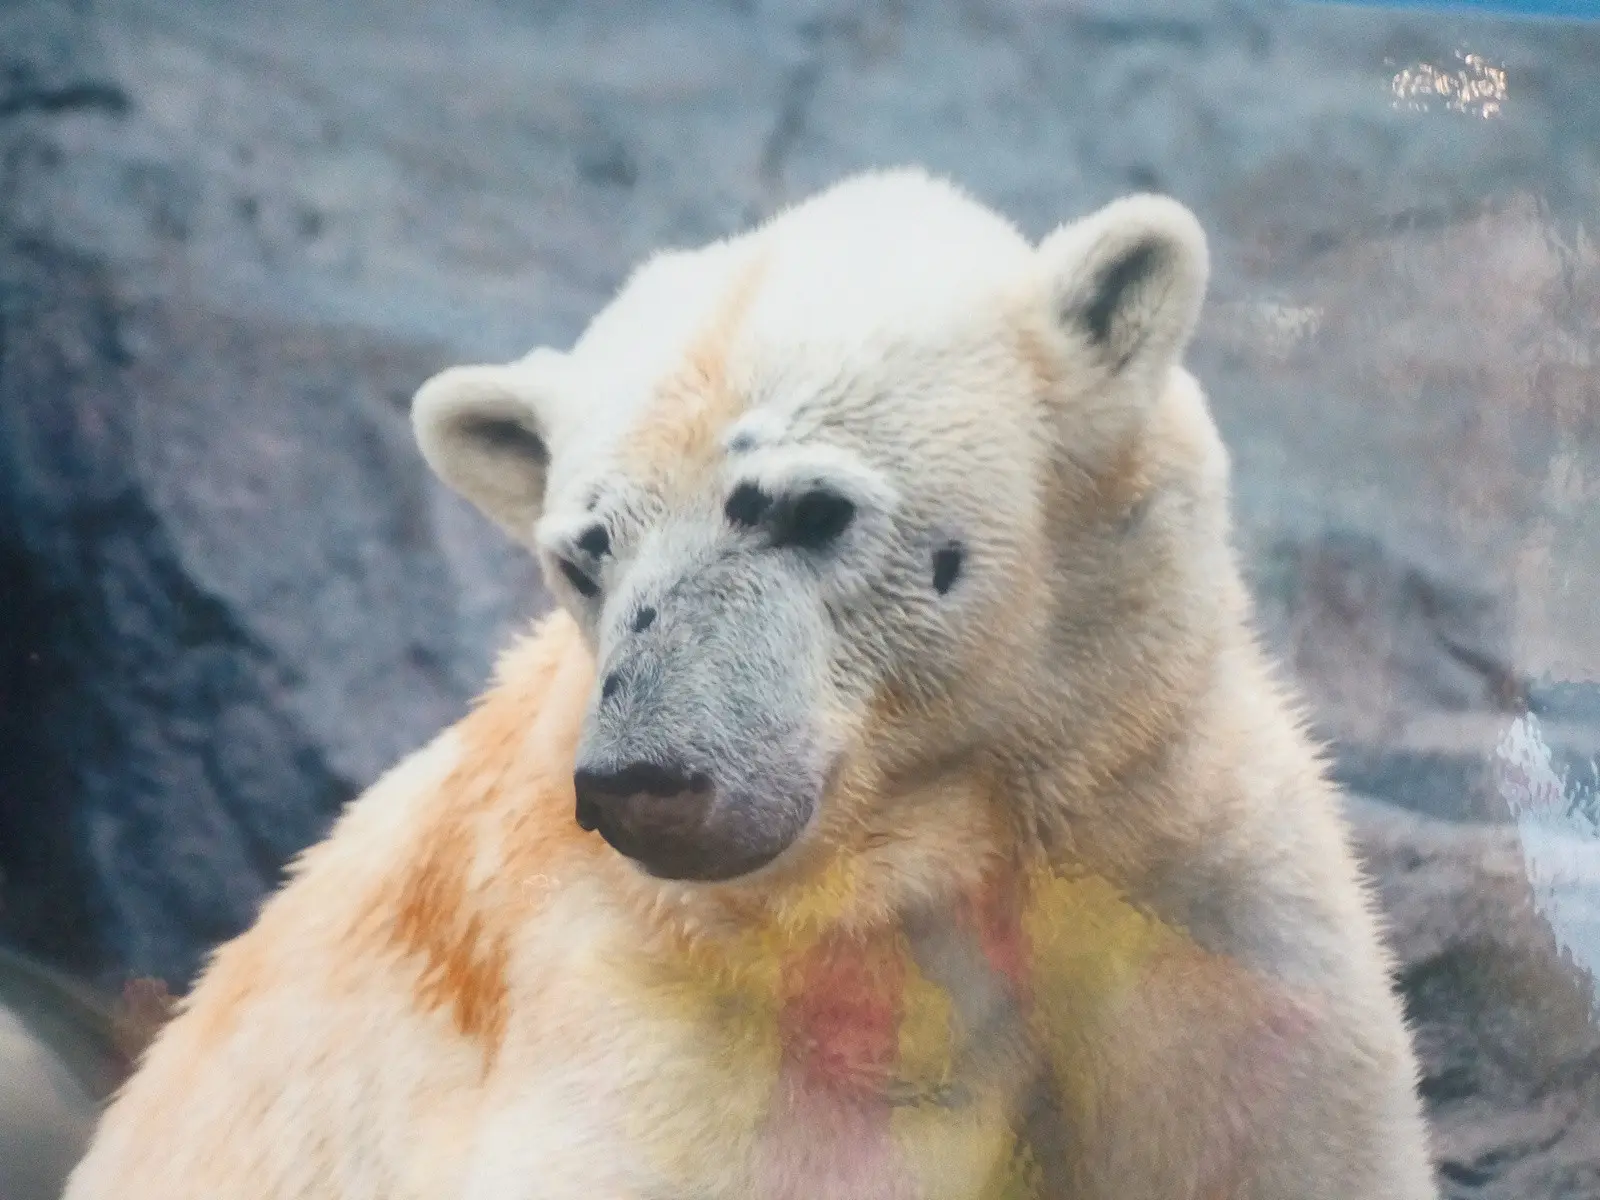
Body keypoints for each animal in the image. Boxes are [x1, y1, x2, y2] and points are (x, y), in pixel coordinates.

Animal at [62, 169, 1440, 1200]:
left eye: (806, 508)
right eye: (583, 553)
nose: (646, 781)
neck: (934, 867)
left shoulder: (1187, 910)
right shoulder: (697, 1028)